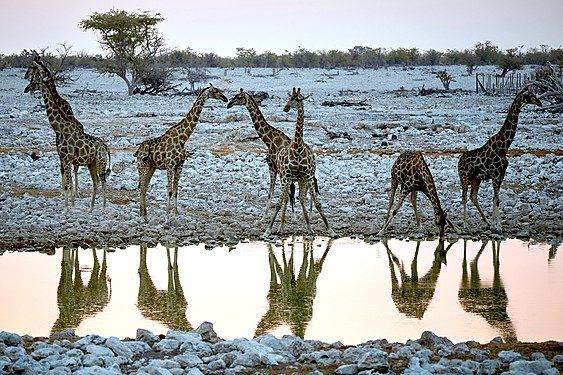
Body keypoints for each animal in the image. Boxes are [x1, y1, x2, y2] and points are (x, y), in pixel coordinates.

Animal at [24, 59, 111, 212]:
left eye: (34, 81)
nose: (26, 88)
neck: (60, 128)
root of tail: (105, 146)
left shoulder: (67, 158)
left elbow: (68, 181)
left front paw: (68, 207)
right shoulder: (64, 157)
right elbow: (66, 180)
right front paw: (68, 205)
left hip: (101, 161)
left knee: (103, 181)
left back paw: (103, 207)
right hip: (91, 163)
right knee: (96, 182)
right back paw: (90, 208)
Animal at [135, 83, 228, 222]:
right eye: (215, 91)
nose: (225, 98)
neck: (182, 138)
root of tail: (138, 151)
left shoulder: (180, 165)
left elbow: (176, 191)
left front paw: (176, 214)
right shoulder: (170, 165)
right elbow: (169, 191)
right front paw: (167, 217)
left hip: (151, 167)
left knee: (144, 187)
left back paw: (145, 215)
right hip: (142, 166)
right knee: (141, 187)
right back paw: (142, 217)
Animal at [264, 87, 334, 238]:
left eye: (297, 99)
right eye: (290, 97)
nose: (286, 107)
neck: (297, 148)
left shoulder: (307, 176)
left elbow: (318, 203)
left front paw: (330, 230)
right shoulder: (286, 176)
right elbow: (278, 203)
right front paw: (268, 230)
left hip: (302, 179)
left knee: (302, 199)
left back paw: (309, 228)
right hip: (289, 178)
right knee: (290, 198)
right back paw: (284, 227)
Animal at [460, 86, 544, 232]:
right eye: (530, 95)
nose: (539, 102)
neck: (504, 146)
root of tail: (459, 161)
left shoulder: (501, 175)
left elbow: (495, 198)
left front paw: (495, 224)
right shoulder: (495, 174)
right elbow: (497, 199)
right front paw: (498, 226)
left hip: (475, 179)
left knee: (473, 196)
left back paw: (487, 222)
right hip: (464, 178)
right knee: (464, 197)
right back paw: (465, 224)